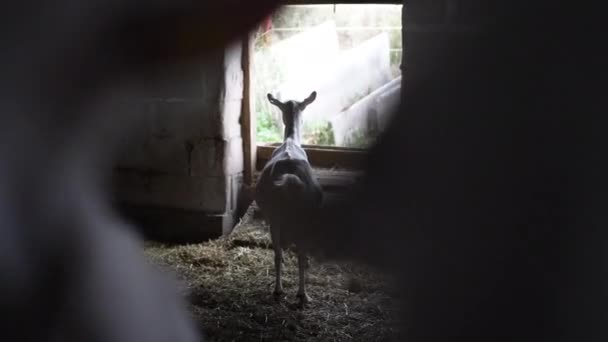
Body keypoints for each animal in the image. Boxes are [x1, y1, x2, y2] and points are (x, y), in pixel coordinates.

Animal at [255, 91, 324, 304]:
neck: (291, 141)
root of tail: (289, 179)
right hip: (296, 219)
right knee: (294, 254)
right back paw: (299, 294)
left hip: (280, 219)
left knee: (283, 253)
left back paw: (286, 291)